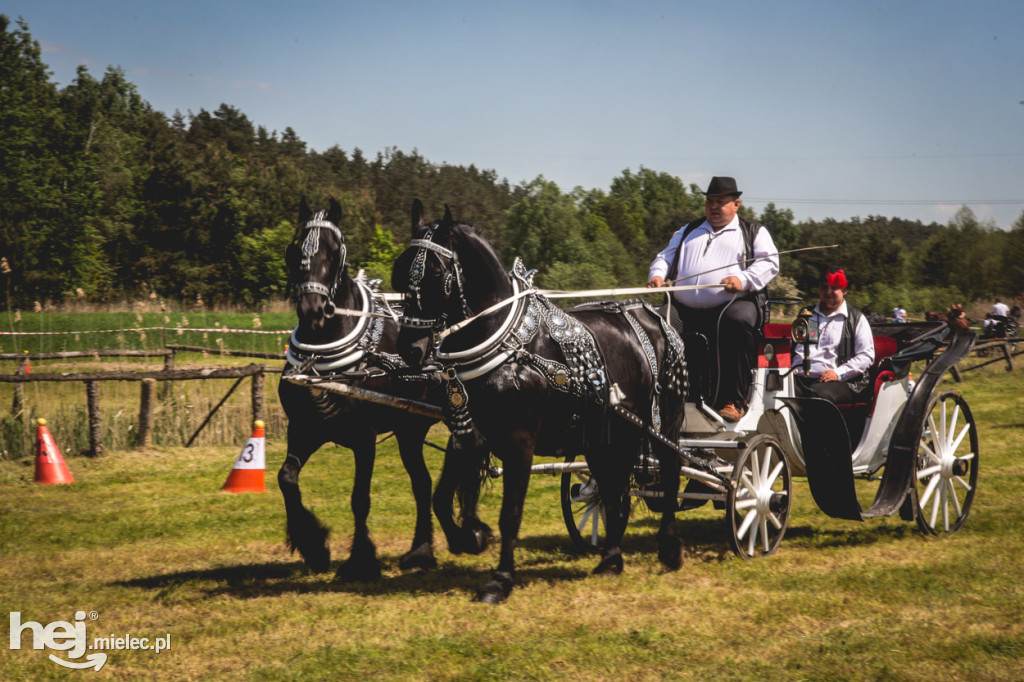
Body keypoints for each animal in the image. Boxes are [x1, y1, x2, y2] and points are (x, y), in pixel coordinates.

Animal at [276, 197, 444, 577]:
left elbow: (359, 498)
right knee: (422, 482)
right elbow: (286, 478)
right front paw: (313, 546)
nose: (312, 309)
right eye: (294, 250)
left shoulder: (363, 437)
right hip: (409, 428)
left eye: (333, 250)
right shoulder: (304, 428)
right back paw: (421, 551)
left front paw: (361, 560)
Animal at [391, 200, 688, 602]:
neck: (506, 343)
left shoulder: (520, 443)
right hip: (606, 433)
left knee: (670, 472)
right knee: (612, 486)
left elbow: (510, 513)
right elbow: (439, 497)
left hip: (665, 419)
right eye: (401, 269)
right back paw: (611, 558)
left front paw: (500, 580)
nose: (410, 348)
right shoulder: (466, 434)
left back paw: (669, 548)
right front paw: (471, 538)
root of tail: (652, 313)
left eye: (436, 273)